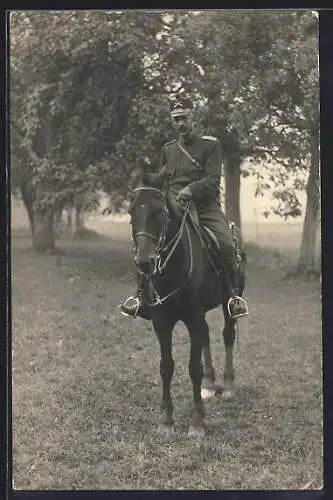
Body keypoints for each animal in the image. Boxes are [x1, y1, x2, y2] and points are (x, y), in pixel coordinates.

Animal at [128, 166, 245, 436]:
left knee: (227, 335)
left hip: (228, 303)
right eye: (131, 211)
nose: (145, 262)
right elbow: (166, 366)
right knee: (207, 337)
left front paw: (197, 422)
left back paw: (228, 385)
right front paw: (166, 420)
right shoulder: (161, 322)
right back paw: (211, 385)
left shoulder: (193, 317)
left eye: (159, 211)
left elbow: (194, 368)